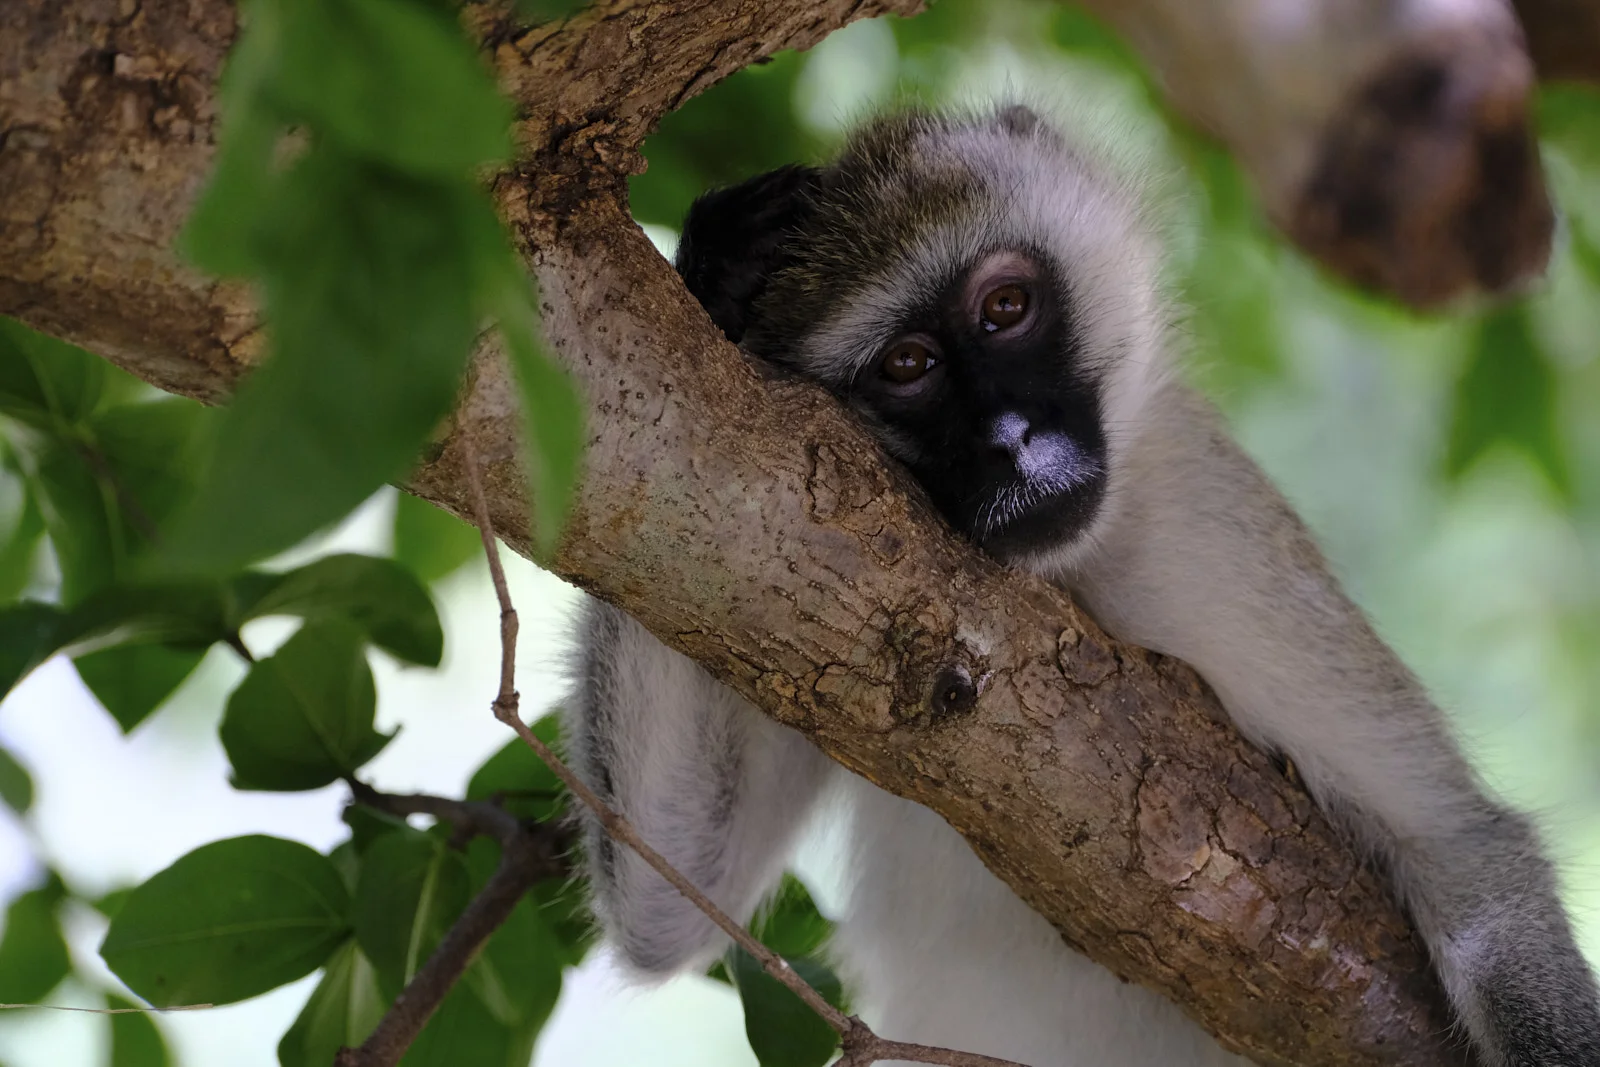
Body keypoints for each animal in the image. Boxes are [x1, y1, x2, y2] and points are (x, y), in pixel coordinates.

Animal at [562, 104, 1600, 1066]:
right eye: (909, 365)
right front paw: (713, 274)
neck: (1068, 573)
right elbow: (673, 902)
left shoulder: (1215, 542)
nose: (1012, 440)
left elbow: (1466, 854)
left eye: (1006, 308)